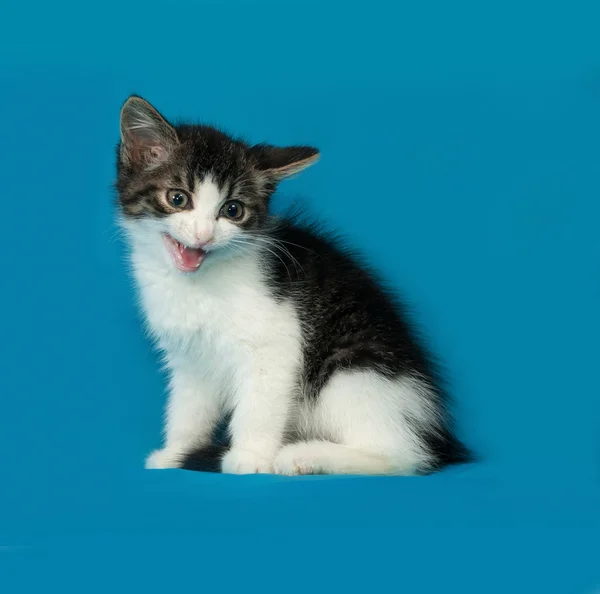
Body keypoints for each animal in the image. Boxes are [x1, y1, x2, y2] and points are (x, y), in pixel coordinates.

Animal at [115, 95, 472, 474]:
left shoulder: (276, 339)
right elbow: (188, 406)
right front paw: (176, 450)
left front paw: (250, 456)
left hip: (354, 372)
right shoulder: (189, 356)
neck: (198, 284)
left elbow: (259, 402)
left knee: (399, 456)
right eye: (177, 198)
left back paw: (304, 455)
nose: (203, 235)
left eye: (233, 210)